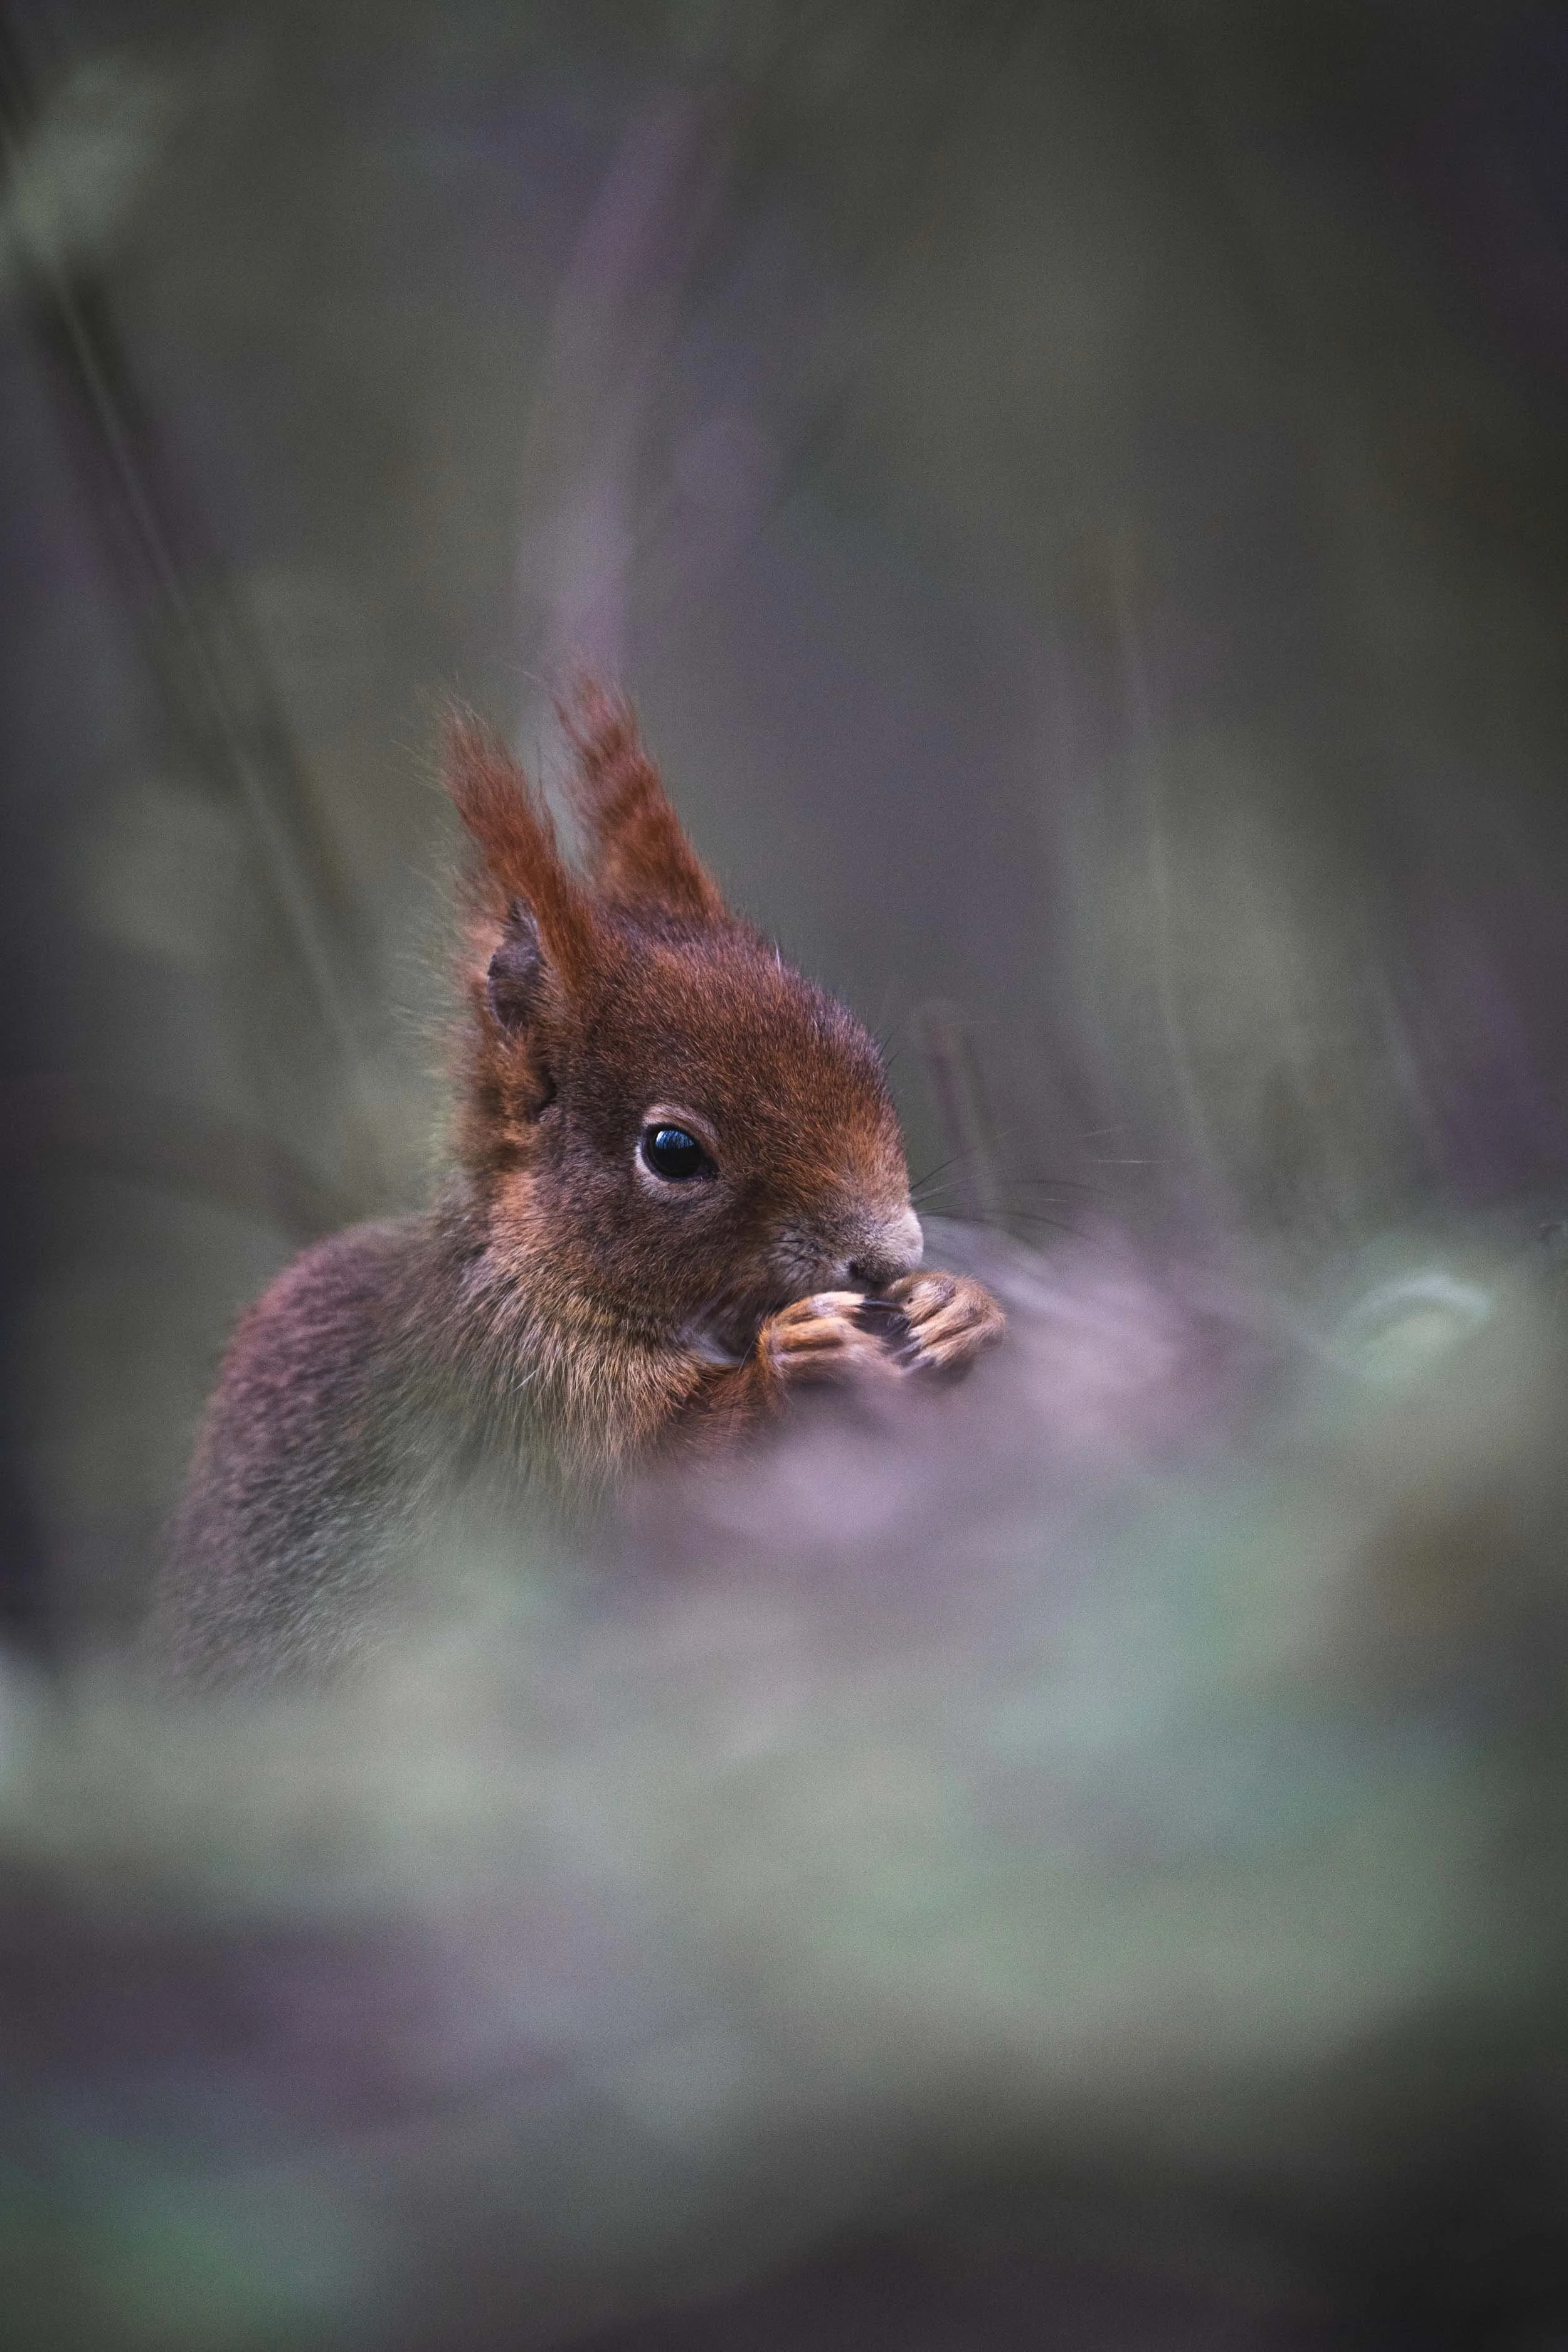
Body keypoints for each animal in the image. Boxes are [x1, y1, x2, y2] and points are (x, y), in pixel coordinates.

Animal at [151, 686, 1004, 1682]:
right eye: (672, 1151)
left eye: (866, 1058)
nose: (887, 1255)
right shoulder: (500, 1390)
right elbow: (652, 1489)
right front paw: (794, 1352)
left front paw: (961, 1308)